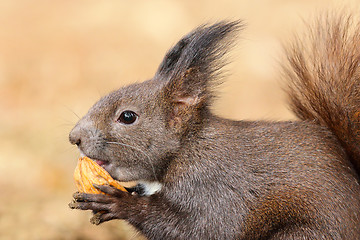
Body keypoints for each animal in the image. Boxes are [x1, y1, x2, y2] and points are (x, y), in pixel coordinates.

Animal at [69, 13, 360, 240]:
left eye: (128, 117)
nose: (74, 137)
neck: (187, 147)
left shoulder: (213, 184)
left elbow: (203, 228)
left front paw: (120, 203)